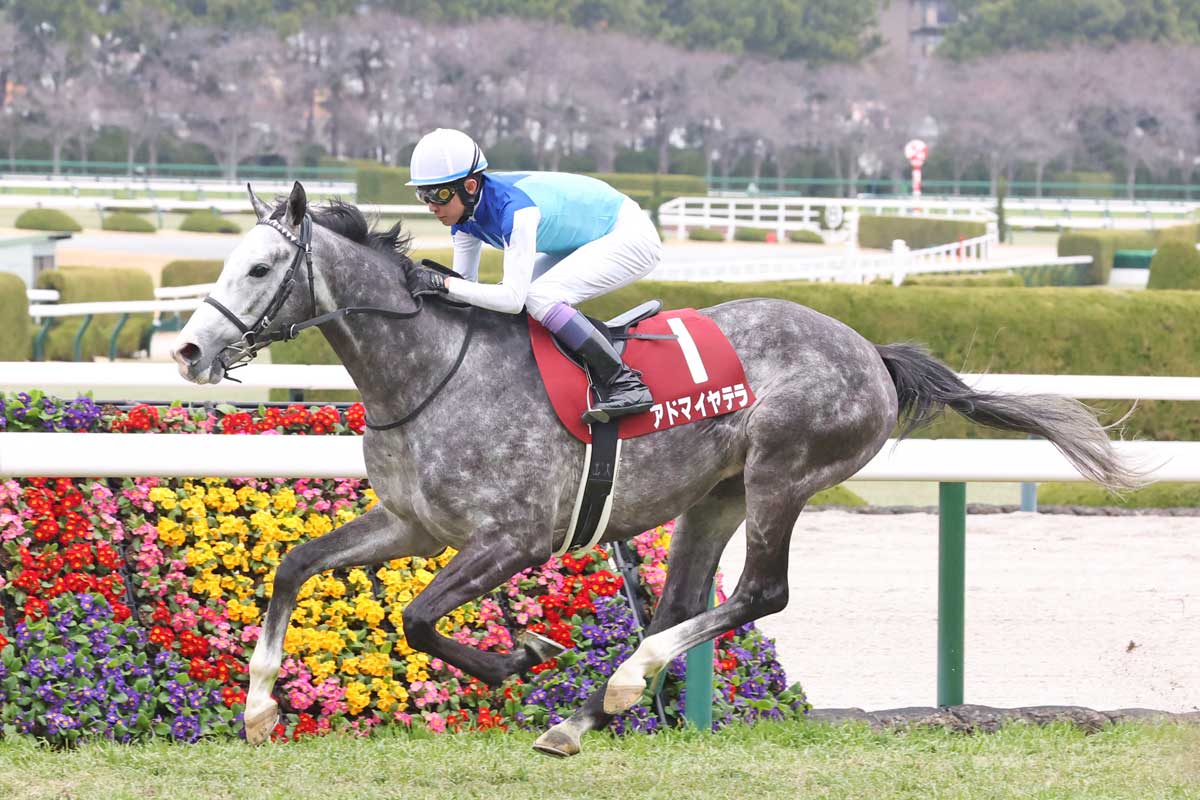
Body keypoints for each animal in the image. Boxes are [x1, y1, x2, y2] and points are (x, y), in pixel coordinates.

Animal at [171, 182, 1139, 756]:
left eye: (261, 265)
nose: (186, 349)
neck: (429, 369)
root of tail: (870, 350)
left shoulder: (514, 538)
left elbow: (415, 617)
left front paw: (520, 654)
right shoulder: (412, 523)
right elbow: (296, 566)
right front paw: (258, 707)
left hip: (780, 476)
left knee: (759, 594)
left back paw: (623, 683)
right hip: (713, 495)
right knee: (680, 604)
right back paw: (587, 715)